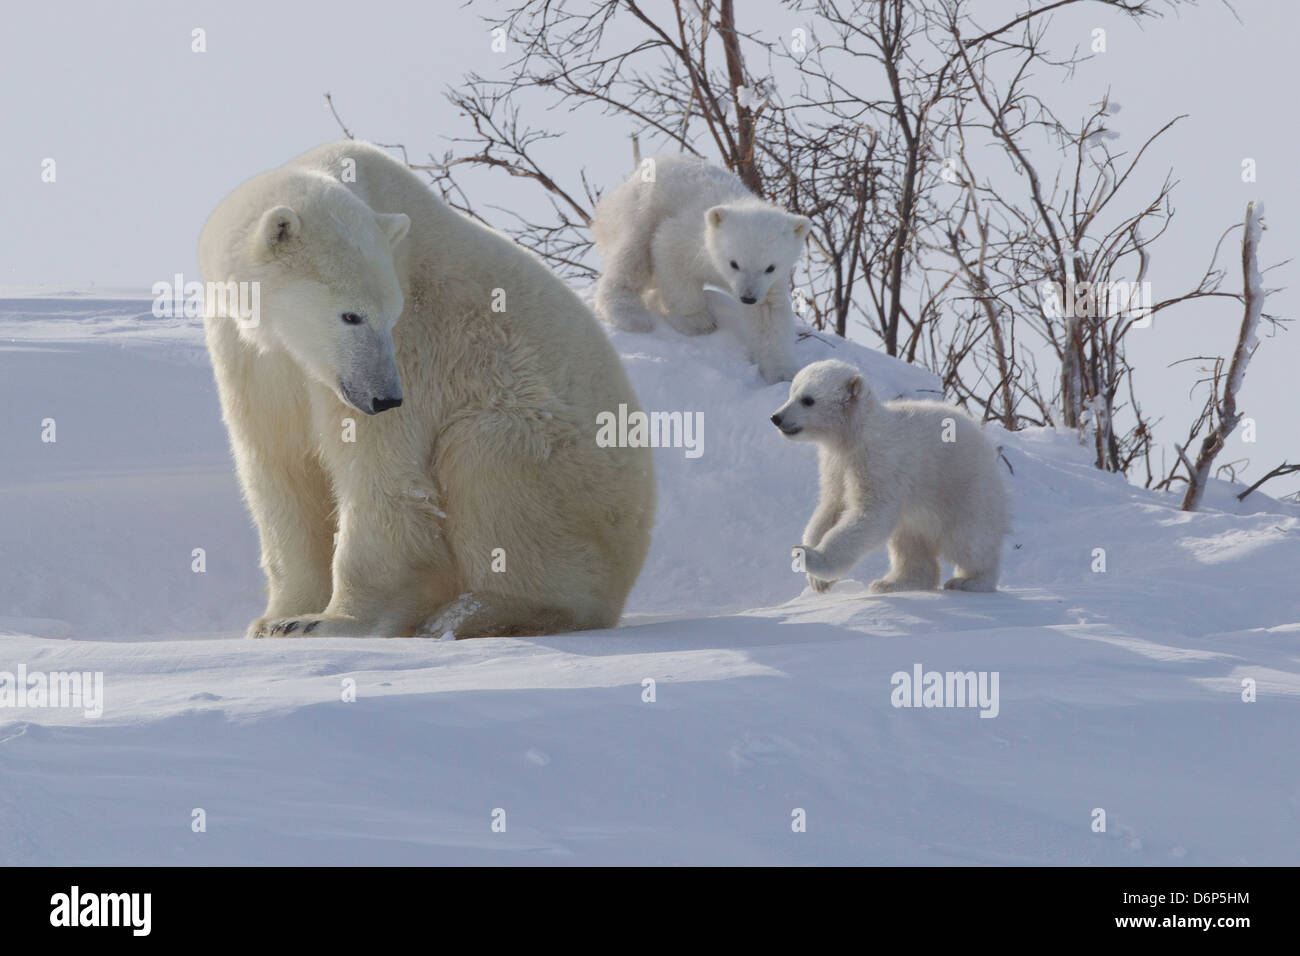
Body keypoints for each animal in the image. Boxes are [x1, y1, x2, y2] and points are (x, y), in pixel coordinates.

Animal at [198, 138, 655, 639]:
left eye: (390, 315)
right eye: (351, 315)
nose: (384, 397)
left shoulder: (417, 346)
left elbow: (384, 476)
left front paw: (329, 621)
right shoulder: (253, 357)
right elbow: (279, 467)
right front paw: (276, 619)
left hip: (580, 483)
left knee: (486, 455)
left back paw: (472, 613)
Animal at [592, 155, 811, 382]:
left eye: (770, 267)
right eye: (734, 263)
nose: (748, 298)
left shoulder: (770, 283)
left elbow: (769, 312)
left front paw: (783, 373)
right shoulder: (689, 238)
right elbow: (669, 254)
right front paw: (698, 321)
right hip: (641, 208)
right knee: (632, 254)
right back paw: (629, 315)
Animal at [764, 361, 1008, 595]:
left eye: (808, 400)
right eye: (792, 392)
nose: (776, 418)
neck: (857, 434)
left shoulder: (878, 462)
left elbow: (871, 512)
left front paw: (808, 557)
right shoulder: (836, 464)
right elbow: (832, 506)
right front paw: (818, 579)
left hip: (964, 490)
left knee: (968, 541)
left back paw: (971, 581)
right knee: (908, 542)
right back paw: (893, 582)